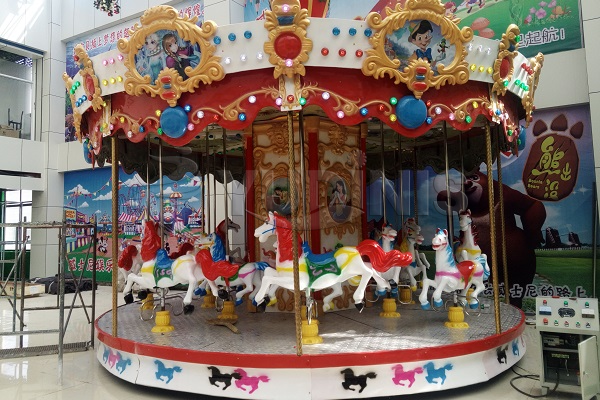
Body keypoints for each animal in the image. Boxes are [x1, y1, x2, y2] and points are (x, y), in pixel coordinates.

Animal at [253, 211, 412, 310]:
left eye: (266, 222)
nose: (255, 232)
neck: (293, 257)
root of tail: (356, 248)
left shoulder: (297, 282)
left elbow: (268, 278)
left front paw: (259, 300)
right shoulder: (284, 276)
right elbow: (269, 274)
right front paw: (267, 299)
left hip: (355, 268)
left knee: (367, 272)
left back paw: (359, 300)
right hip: (344, 275)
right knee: (369, 271)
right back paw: (386, 285)